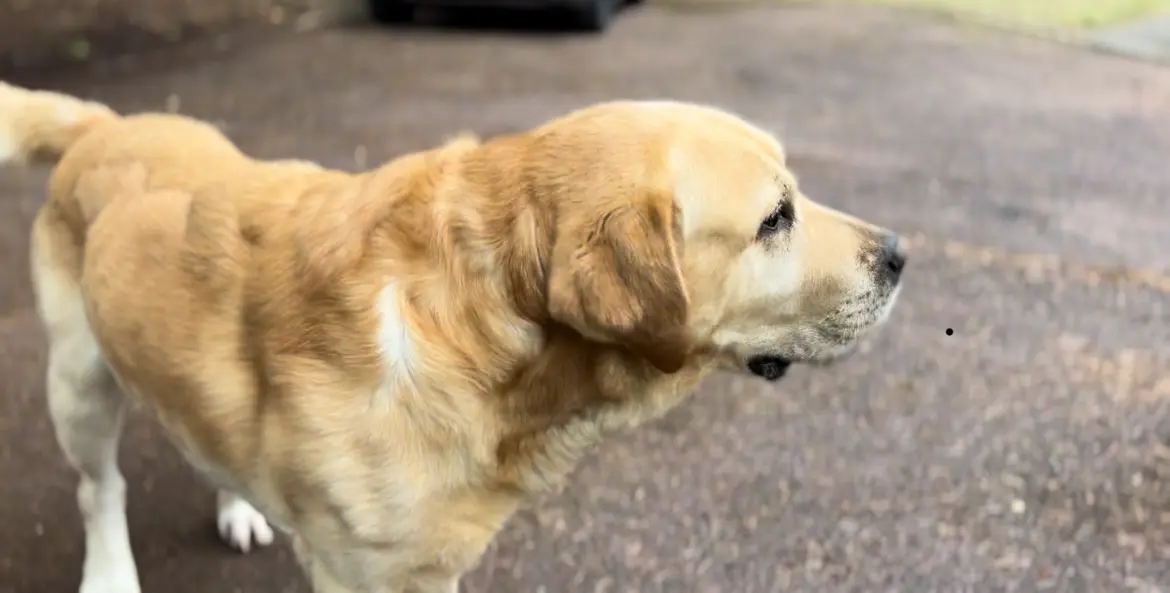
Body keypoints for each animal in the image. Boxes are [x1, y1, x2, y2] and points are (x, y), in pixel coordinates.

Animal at [2, 80, 903, 593]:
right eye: (774, 219)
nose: (899, 254)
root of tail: (103, 126)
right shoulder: (362, 574)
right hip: (78, 384)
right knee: (98, 490)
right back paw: (109, 573)